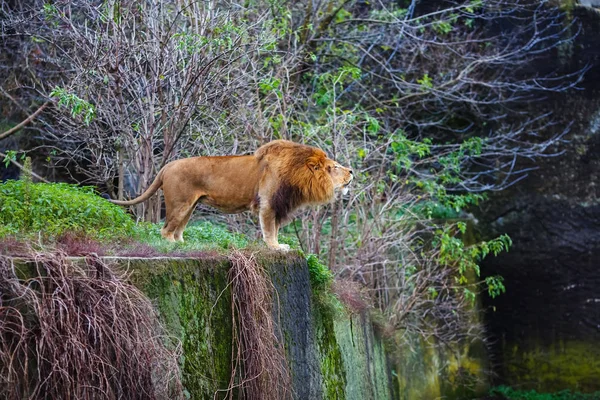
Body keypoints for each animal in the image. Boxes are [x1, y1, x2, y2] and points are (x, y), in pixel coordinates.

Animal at [109, 141, 352, 250]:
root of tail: (167, 166)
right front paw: (276, 247)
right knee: (165, 229)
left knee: (177, 228)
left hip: (190, 206)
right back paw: (173, 245)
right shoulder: (269, 204)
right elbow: (270, 229)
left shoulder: (278, 205)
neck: (296, 174)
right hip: (180, 204)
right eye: (334, 167)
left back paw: (185, 244)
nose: (352, 171)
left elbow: (274, 228)